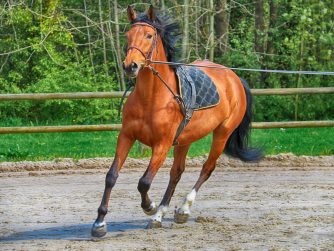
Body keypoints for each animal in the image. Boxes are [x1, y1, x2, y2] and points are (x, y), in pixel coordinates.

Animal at [90, 5, 260, 237]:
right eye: (127, 35)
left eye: (149, 35)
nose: (130, 66)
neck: (152, 98)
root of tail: (234, 78)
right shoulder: (126, 136)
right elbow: (111, 176)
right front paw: (99, 223)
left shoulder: (161, 144)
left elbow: (144, 182)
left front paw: (149, 206)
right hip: (185, 140)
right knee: (176, 173)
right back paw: (161, 215)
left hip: (222, 133)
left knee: (207, 168)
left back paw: (181, 210)